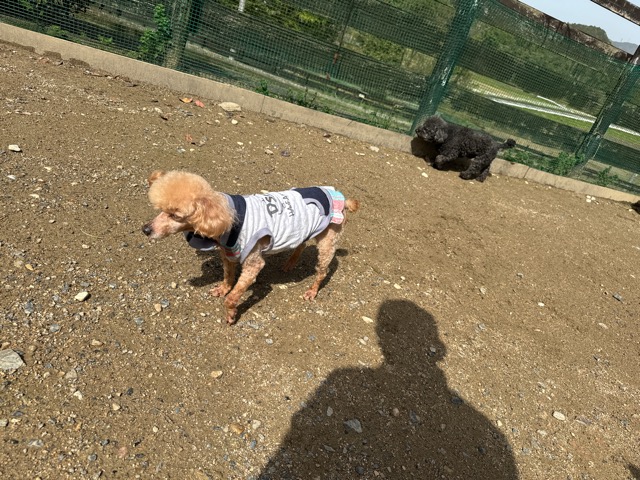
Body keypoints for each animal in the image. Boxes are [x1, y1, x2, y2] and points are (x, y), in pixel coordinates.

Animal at [142, 170, 360, 324]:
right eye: (160, 210)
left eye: (175, 215)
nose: (145, 229)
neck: (225, 217)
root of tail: (341, 197)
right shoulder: (228, 254)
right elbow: (228, 276)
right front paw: (223, 289)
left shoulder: (253, 263)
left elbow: (233, 296)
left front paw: (231, 314)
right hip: (304, 230)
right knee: (302, 243)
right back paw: (290, 264)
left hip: (328, 241)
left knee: (322, 271)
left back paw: (312, 291)